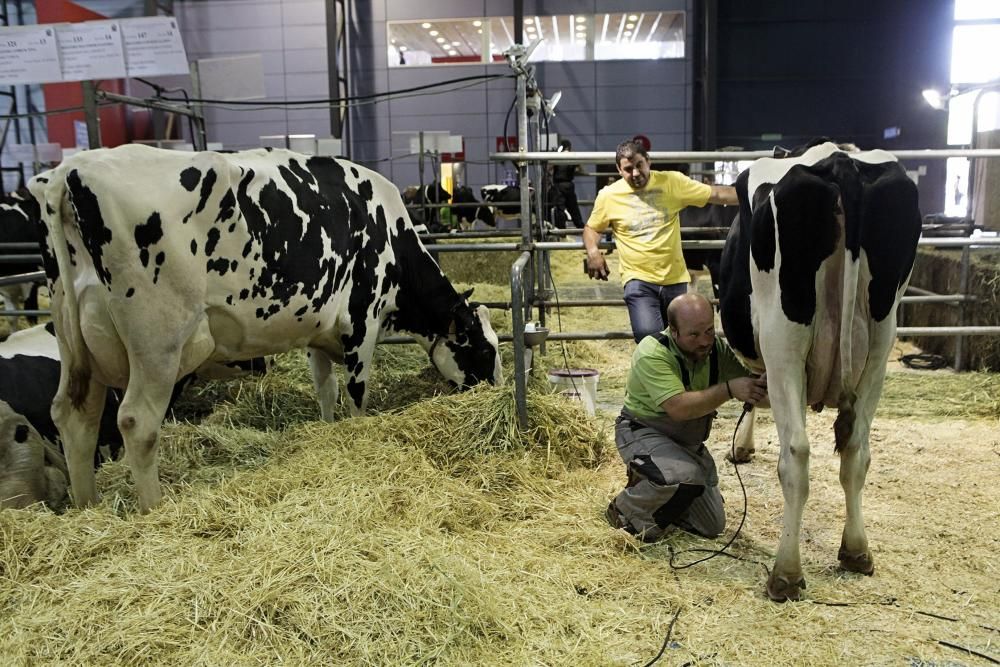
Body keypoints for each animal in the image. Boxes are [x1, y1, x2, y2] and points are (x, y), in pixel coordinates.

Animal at [29, 145, 500, 512]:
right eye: (485, 350)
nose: (494, 392)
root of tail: (72, 170)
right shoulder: (362, 321)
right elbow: (356, 395)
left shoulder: (318, 331)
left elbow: (325, 389)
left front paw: (328, 429)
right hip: (158, 342)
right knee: (135, 421)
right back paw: (153, 508)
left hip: (76, 340)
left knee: (75, 413)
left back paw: (86, 506)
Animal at [720, 140, 920, 600]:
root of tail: (838, 159)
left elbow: (752, 392)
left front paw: (741, 445)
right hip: (882, 339)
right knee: (857, 449)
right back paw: (857, 551)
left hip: (783, 338)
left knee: (796, 454)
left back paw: (786, 574)